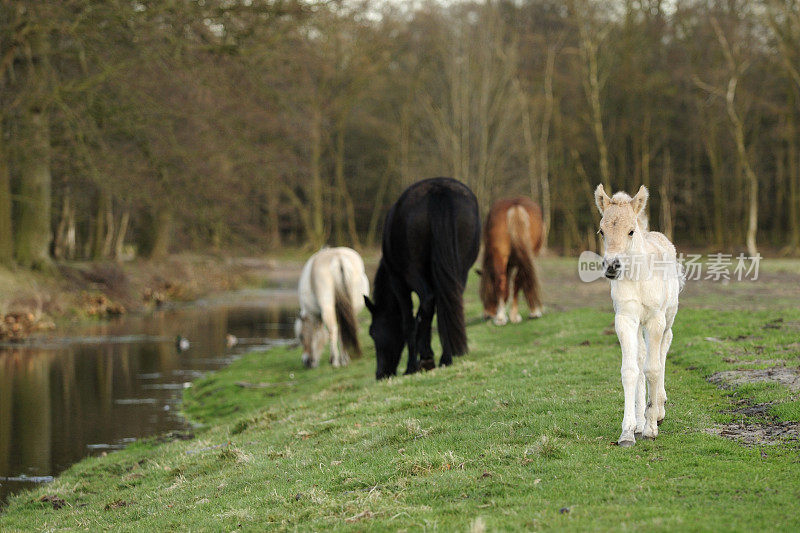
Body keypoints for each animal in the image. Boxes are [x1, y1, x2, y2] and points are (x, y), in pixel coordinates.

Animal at [364, 177, 482, 376]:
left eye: (372, 332)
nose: (381, 374)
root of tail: (438, 190)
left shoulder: (399, 283)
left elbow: (410, 320)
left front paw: (416, 362)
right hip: (460, 271)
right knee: (446, 304)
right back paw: (446, 357)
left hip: (413, 273)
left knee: (427, 302)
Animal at [478, 198, 548, 326]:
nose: (487, 315)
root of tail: (515, 205)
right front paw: (534, 312)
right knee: (519, 280)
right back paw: (514, 315)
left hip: (502, 256)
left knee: (504, 281)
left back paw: (502, 317)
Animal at [592, 185, 680, 446]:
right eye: (601, 231)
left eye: (631, 231)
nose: (612, 267)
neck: (638, 276)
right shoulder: (625, 320)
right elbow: (631, 370)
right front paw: (629, 431)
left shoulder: (655, 320)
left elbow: (653, 369)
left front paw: (651, 427)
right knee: (641, 358)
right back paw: (641, 420)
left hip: (668, 318)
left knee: (662, 352)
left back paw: (658, 409)